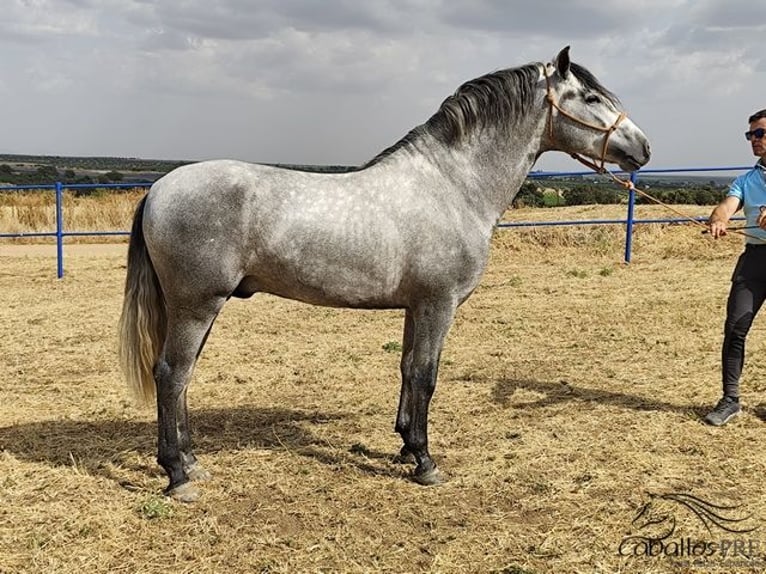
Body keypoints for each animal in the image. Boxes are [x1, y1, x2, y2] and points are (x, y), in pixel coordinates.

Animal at [117, 47, 652, 502]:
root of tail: (159, 188)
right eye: (590, 98)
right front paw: (425, 462)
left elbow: (406, 369)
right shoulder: (439, 304)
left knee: (183, 376)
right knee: (171, 374)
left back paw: (192, 461)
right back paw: (178, 475)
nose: (643, 148)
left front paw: (404, 446)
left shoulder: (417, 306)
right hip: (196, 305)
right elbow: (426, 375)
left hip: (200, 308)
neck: (453, 187)